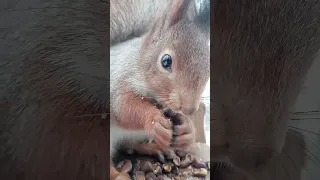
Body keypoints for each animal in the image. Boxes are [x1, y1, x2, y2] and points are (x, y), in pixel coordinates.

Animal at [110, 0, 210, 179]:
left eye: (209, 69)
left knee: (128, 144)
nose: (190, 109)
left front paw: (188, 128)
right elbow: (123, 106)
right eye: (166, 61)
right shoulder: (116, 80)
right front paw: (155, 121)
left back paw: (156, 148)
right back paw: (118, 175)